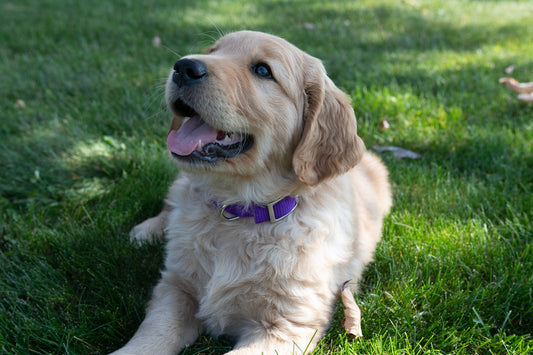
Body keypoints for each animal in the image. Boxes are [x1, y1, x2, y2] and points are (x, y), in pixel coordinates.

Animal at [114, 31, 390, 355]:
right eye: (214, 51)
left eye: (262, 70)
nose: (183, 67)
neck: (239, 210)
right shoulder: (175, 288)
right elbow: (151, 336)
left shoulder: (287, 326)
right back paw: (147, 231)